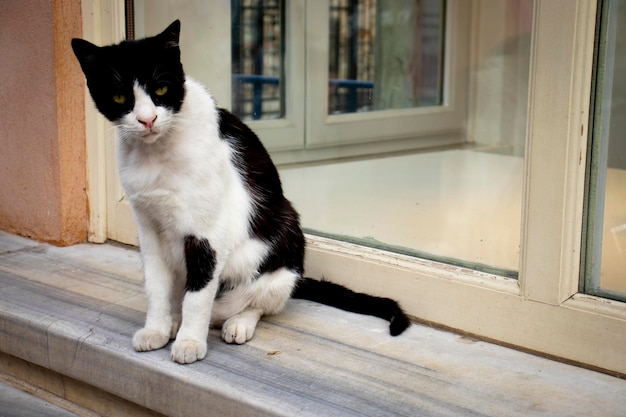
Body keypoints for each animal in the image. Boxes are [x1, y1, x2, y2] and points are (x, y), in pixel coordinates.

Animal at [72, 21, 410, 362]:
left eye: (161, 89)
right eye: (119, 96)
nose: (147, 119)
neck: (157, 156)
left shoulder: (208, 233)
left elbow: (198, 297)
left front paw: (190, 342)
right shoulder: (148, 229)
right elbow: (155, 287)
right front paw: (155, 329)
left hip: (283, 250)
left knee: (258, 302)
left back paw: (236, 323)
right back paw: (173, 321)